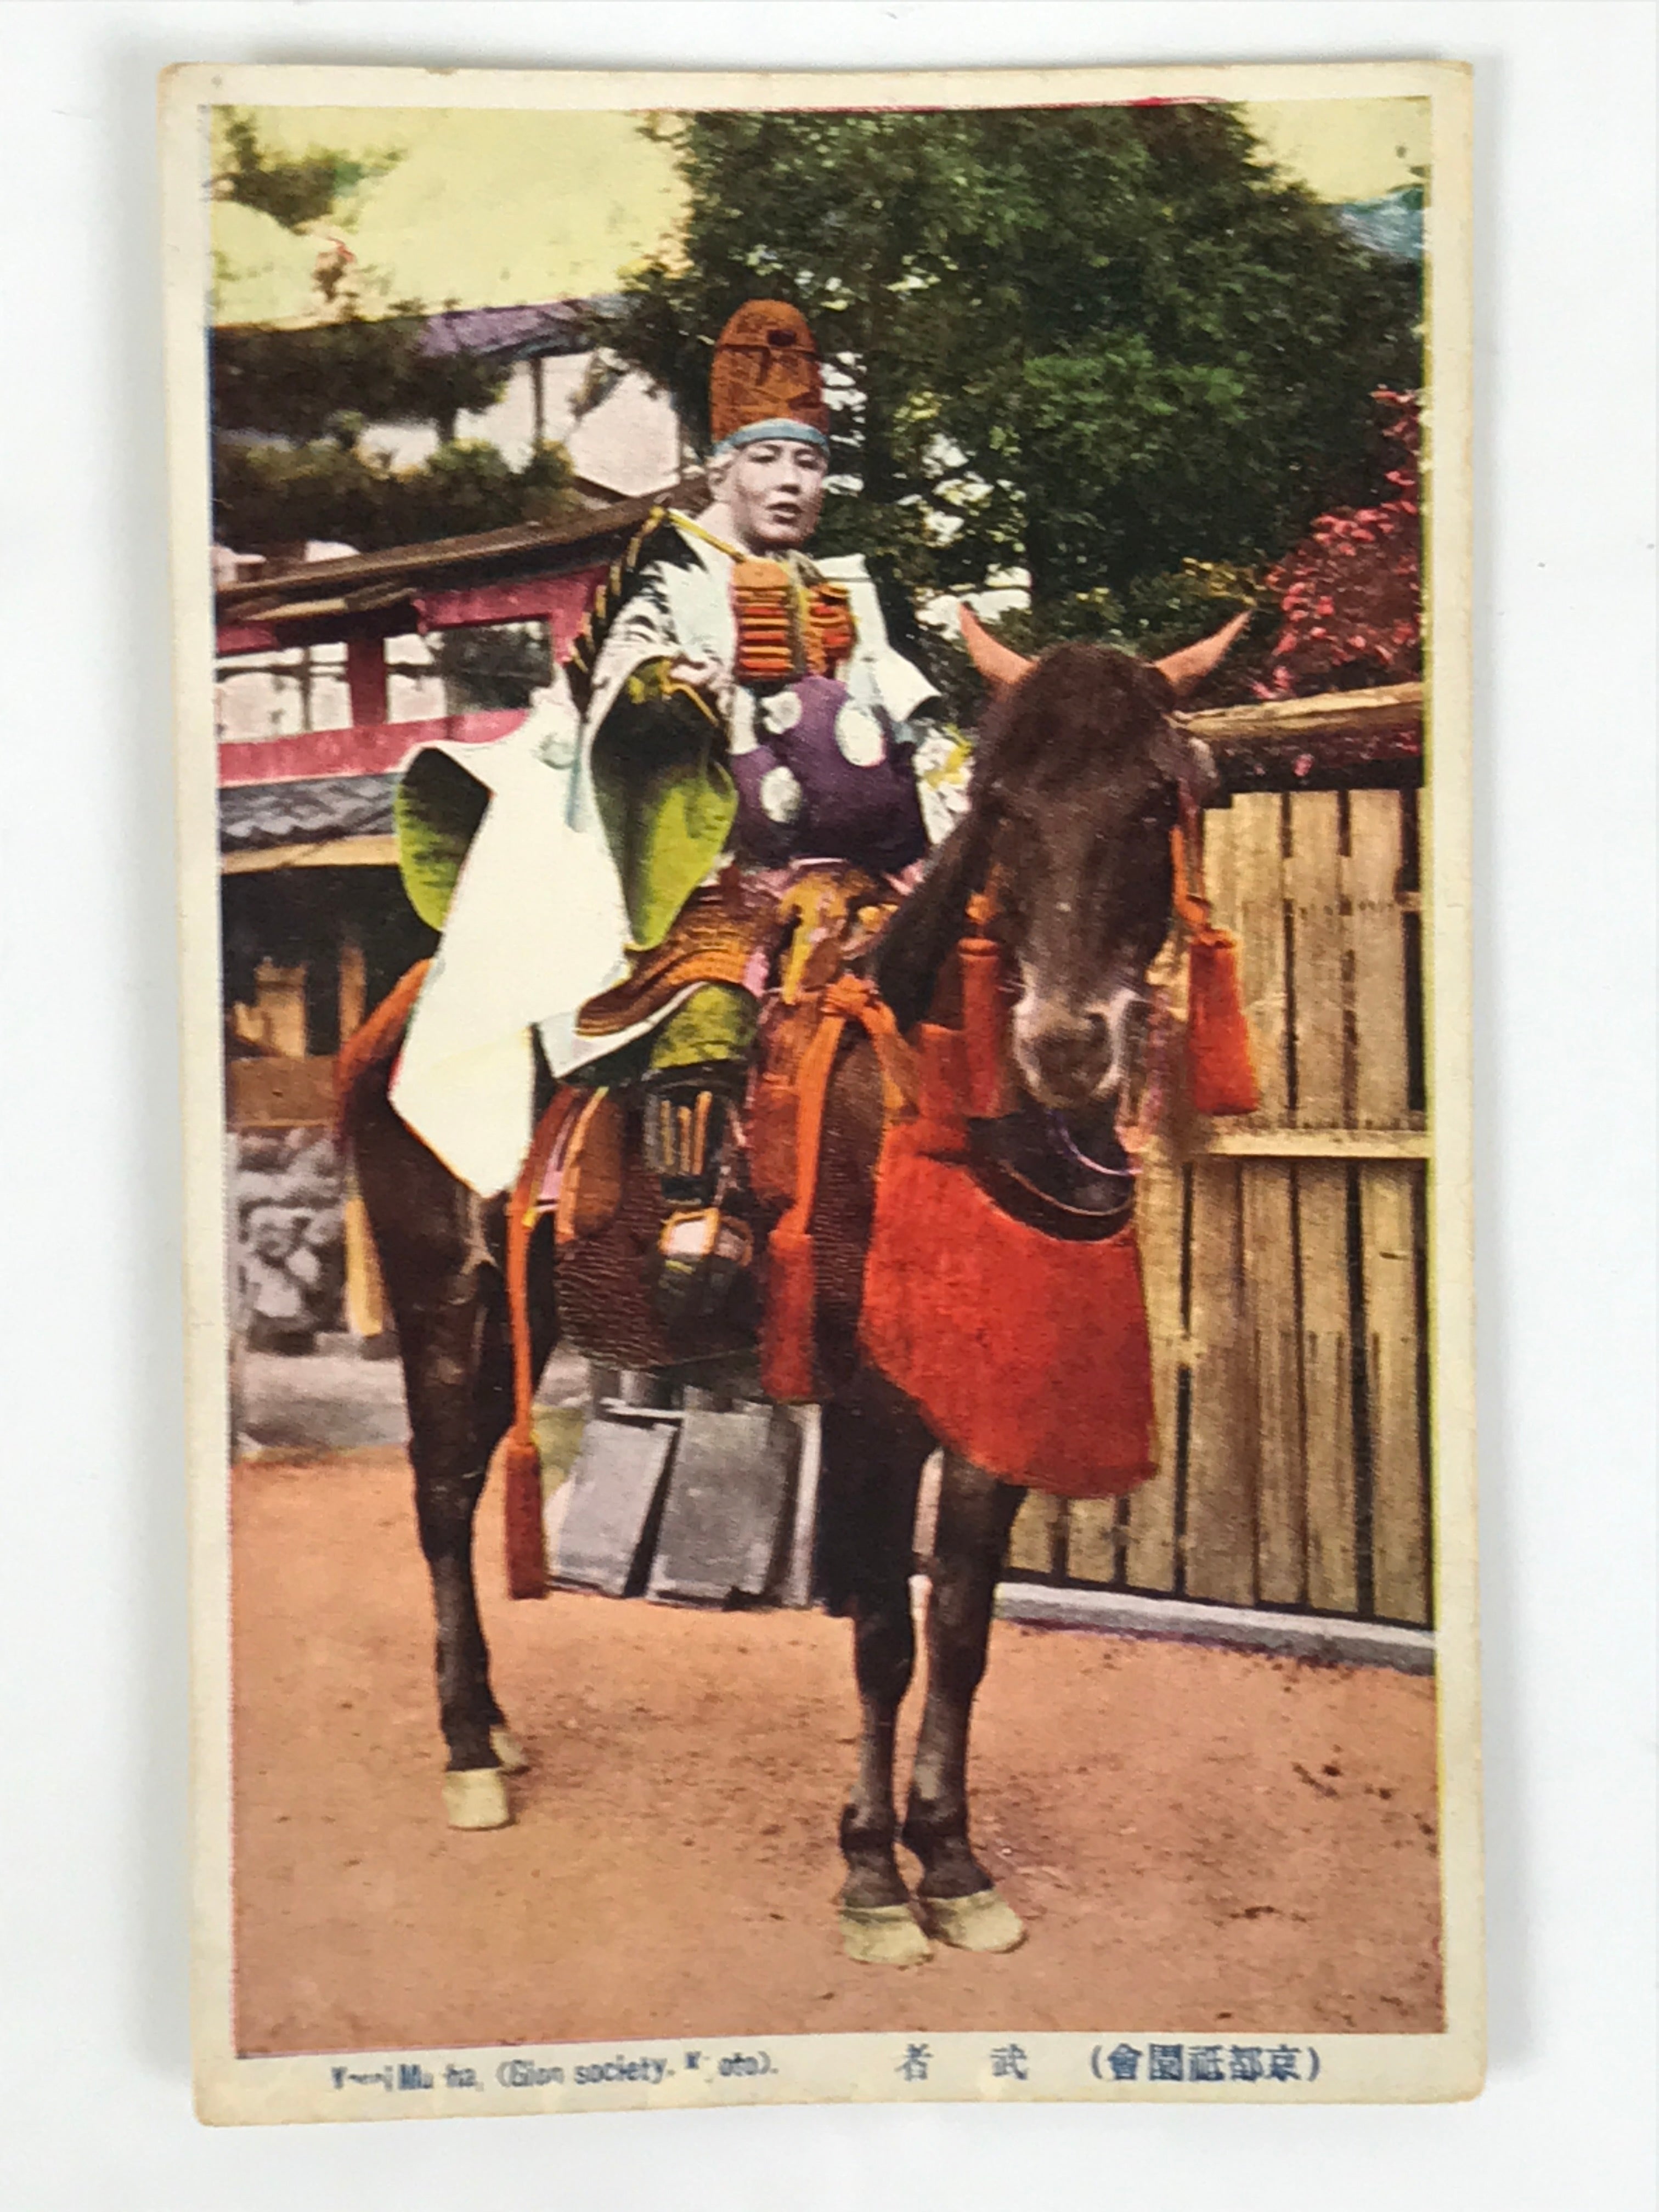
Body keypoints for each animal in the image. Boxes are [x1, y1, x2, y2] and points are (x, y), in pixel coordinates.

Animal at [340, 616, 1236, 1967]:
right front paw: (873, 1874)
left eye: (1154, 800)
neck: (944, 1105)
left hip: (519, 1314)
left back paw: (490, 1724)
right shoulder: (870, 1408)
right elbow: (882, 1638)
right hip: (443, 1291)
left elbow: (959, 1632)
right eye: (1004, 806)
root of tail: (397, 1015)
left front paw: (953, 1859)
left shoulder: (988, 1417)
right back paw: (466, 1751)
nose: (1067, 1043)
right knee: (443, 1494)